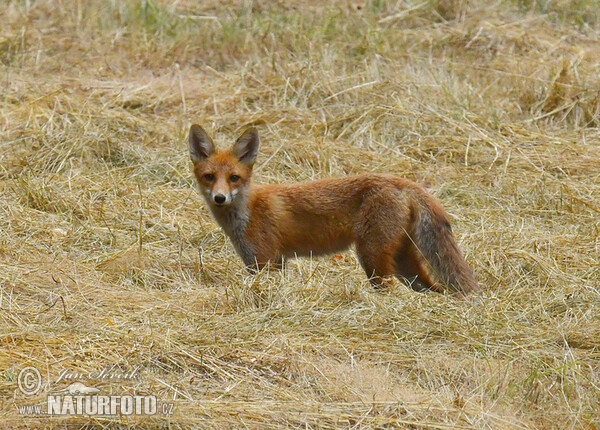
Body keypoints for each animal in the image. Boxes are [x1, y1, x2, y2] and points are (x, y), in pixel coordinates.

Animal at [190, 124, 480, 296]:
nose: (219, 198)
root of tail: (400, 181)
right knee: (436, 289)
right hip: (403, 263)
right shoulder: (276, 262)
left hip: (372, 256)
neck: (246, 210)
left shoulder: (264, 261)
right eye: (209, 177)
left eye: (234, 178)